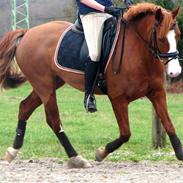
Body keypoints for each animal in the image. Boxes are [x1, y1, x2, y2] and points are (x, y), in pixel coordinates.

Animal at [0, 2, 183, 167]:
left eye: (178, 35)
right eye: (161, 38)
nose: (175, 72)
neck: (139, 52)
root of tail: (28, 32)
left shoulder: (157, 93)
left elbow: (169, 124)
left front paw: (180, 153)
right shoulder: (118, 98)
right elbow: (125, 133)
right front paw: (101, 153)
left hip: (50, 84)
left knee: (25, 107)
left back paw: (12, 152)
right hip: (44, 86)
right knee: (53, 120)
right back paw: (76, 158)